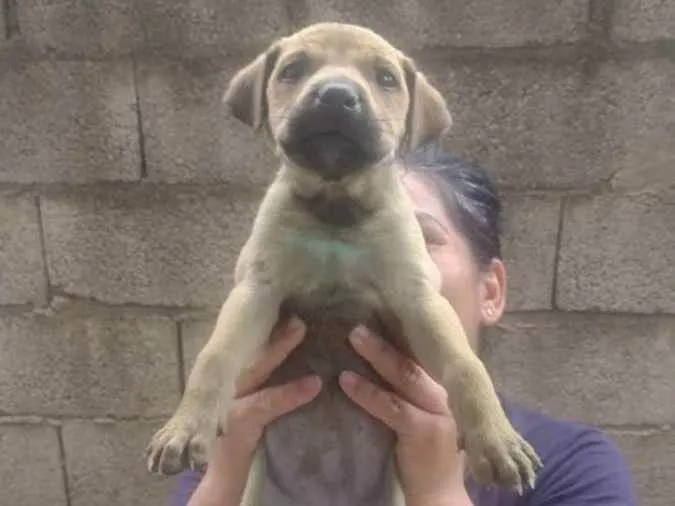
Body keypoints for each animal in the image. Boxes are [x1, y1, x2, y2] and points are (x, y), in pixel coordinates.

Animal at [147, 21, 544, 504]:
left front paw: (496, 440)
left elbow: (466, 365)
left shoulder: (417, 299)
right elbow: (215, 355)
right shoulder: (256, 291)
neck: (336, 206)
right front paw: (185, 427)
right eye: (293, 70)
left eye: (386, 78)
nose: (336, 95)